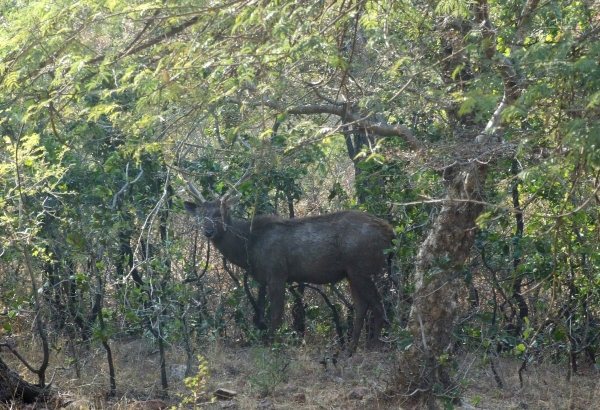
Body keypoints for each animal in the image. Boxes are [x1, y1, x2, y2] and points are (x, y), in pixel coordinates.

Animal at [180, 155, 394, 350]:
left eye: (219, 214)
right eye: (202, 215)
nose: (208, 231)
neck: (250, 247)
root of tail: (389, 232)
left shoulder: (277, 272)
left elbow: (276, 314)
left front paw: (275, 348)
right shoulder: (265, 278)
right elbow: (262, 315)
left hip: (361, 265)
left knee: (377, 304)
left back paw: (374, 347)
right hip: (351, 271)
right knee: (361, 306)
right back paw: (350, 349)